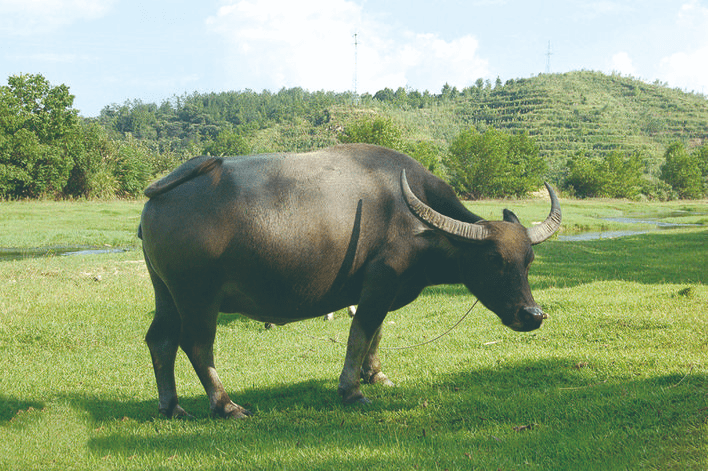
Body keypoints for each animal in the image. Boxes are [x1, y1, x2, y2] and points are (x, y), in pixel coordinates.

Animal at [138, 142, 560, 418]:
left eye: (529, 260)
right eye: (493, 260)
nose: (533, 315)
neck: (412, 220)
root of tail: (160, 195)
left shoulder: (381, 290)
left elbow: (377, 333)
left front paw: (376, 375)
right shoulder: (378, 285)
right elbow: (360, 333)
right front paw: (352, 390)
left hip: (166, 292)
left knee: (160, 340)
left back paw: (172, 406)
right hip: (197, 296)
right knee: (197, 345)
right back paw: (226, 405)